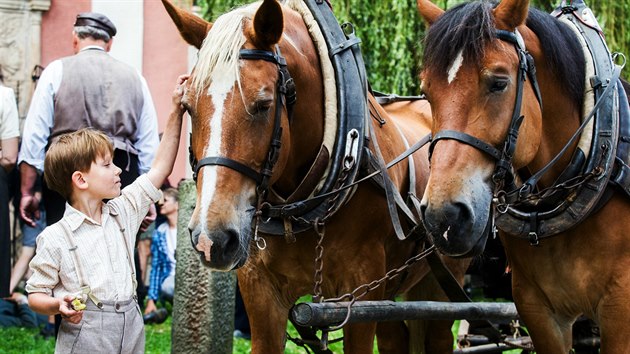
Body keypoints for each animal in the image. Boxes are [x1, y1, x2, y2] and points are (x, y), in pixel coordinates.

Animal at [165, 0, 472, 352]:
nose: (210, 238)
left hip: (443, 281)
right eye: (188, 105)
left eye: (263, 104)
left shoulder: (361, 291)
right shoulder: (260, 291)